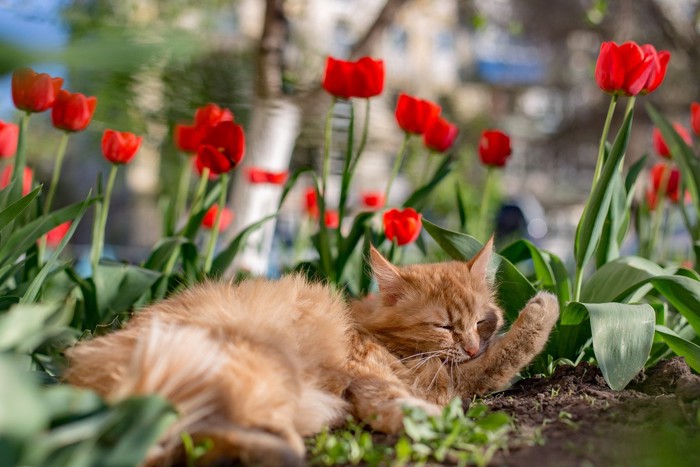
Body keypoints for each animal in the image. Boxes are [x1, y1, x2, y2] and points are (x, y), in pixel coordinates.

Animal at [65, 239, 556, 466]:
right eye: (444, 326)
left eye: (481, 321)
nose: (471, 344)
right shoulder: (414, 378)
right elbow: (501, 359)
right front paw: (545, 308)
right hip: (261, 368)